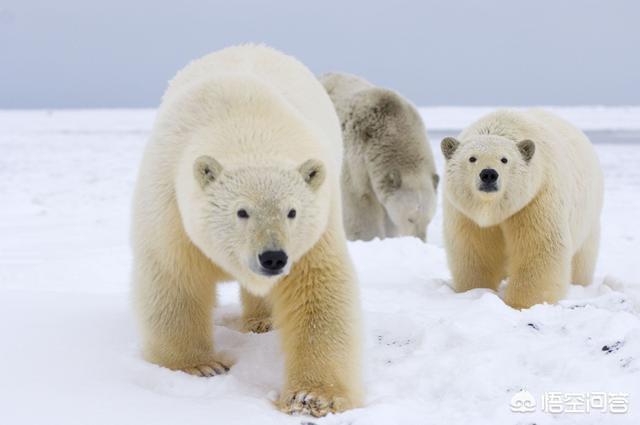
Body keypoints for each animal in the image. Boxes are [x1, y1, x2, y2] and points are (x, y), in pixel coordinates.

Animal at [131, 44, 360, 416]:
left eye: (292, 211)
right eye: (242, 211)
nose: (273, 258)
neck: (245, 122)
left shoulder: (317, 225)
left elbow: (318, 289)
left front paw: (312, 398)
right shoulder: (170, 206)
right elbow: (174, 277)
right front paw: (199, 366)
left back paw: (261, 321)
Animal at [318, 71, 438, 240]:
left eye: (428, 219)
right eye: (410, 218)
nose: (419, 239)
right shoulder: (355, 159)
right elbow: (359, 202)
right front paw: (368, 237)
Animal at [442, 109, 604, 308]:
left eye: (504, 159)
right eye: (472, 158)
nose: (488, 174)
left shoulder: (535, 199)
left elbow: (539, 247)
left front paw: (520, 305)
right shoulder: (465, 213)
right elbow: (474, 249)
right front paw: (475, 291)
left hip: (588, 217)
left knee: (583, 258)